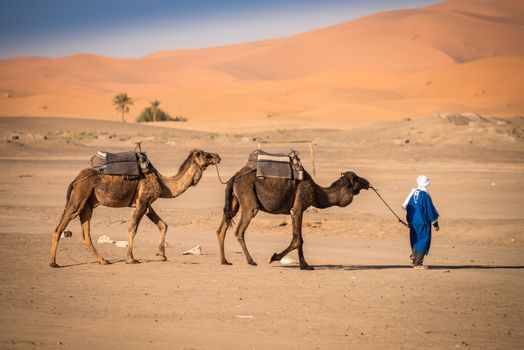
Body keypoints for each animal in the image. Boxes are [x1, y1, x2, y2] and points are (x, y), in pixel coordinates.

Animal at [48, 148, 220, 268]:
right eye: (204, 154)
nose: (218, 156)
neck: (163, 183)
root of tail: (76, 179)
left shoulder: (147, 203)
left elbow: (163, 224)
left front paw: (161, 254)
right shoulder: (143, 201)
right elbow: (133, 228)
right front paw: (130, 259)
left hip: (87, 205)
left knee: (86, 235)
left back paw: (103, 260)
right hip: (78, 197)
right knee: (60, 227)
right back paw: (53, 263)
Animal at [215, 167, 370, 270]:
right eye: (357, 179)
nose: (367, 182)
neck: (317, 192)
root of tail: (235, 177)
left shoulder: (296, 211)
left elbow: (300, 239)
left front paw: (305, 265)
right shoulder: (297, 208)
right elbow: (297, 240)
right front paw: (274, 257)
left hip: (234, 200)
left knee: (222, 228)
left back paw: (224, 261)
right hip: (247, 198)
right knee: (240, 229)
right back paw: (251, 261)